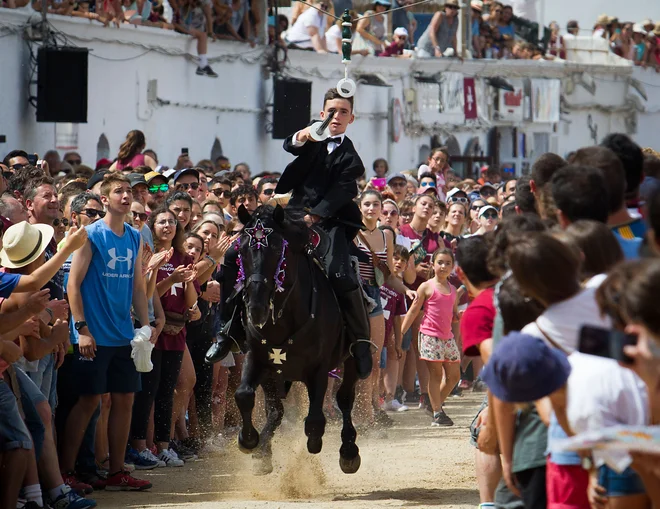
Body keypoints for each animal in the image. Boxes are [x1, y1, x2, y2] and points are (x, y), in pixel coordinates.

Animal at [233, 204, 360, 474]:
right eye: (241, 249)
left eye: (275, 249)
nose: (255, 308)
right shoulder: (258, 359)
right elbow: (245, 395)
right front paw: (249, 441)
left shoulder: (319, 368)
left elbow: (314, 420)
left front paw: (316, 441)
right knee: (276, 410)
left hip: (353, 361)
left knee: (345, 398)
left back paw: (348, 451)